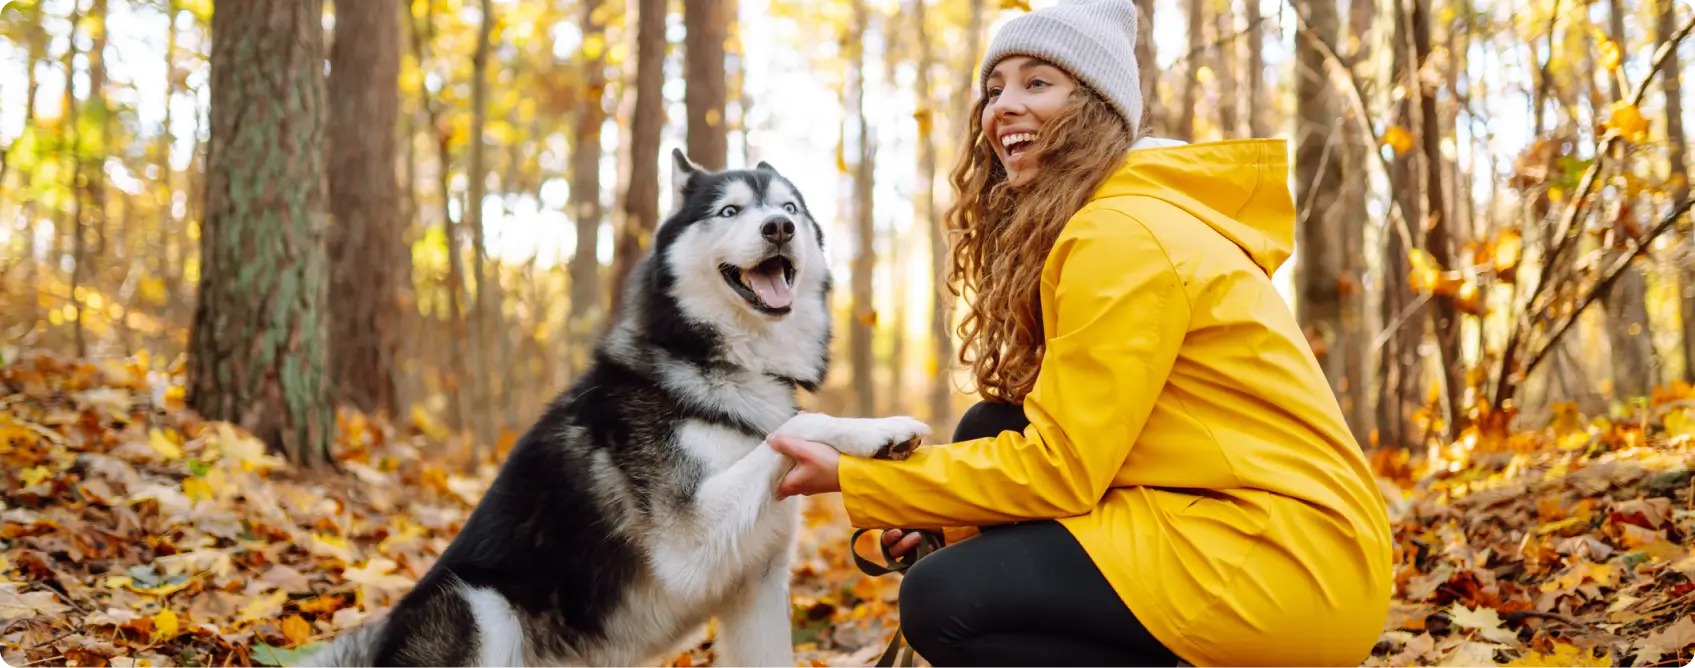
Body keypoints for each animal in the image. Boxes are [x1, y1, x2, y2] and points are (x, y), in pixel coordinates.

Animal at [301, 151, 942, 668]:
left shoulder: (758, 585)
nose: (779, 227)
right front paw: (881, 432)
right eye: (730, 211)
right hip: (480, 606)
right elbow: (798, 425)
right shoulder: (688, 544)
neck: (727, 365)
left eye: (789, 207)